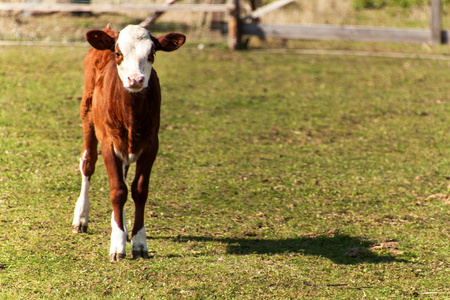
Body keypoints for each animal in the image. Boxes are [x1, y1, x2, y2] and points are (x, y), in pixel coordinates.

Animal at [72, 25, 185, 260]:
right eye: (118, 53)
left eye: (152, 53)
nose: (135, 79)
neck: (131, 113)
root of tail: (108, 31)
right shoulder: (108, 143)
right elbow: (117, 191)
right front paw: (117, 245)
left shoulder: (151, 144)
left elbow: (139, 190)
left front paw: (139, 242)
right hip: (87, 116)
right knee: (88, 163)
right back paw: (81, 218)